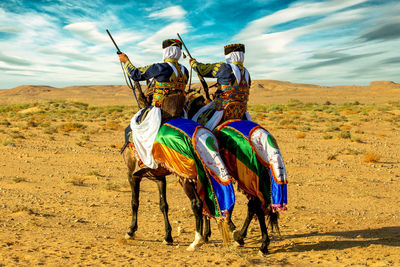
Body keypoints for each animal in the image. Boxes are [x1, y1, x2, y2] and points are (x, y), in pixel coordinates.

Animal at [122, 92, 234, 251]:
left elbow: (134, 202)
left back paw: (197, 240)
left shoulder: (132, 175)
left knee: (197, 203)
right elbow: (163, 205)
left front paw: (131, 231)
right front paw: (167, 236)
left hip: (185, 177)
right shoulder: (159, 178)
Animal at [184, 92, 288, 255]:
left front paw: (206, 235)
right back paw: (243, 237)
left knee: (256, 206)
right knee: (255, 206)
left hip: (249, 177)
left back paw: (260, 244)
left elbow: (206, 203)